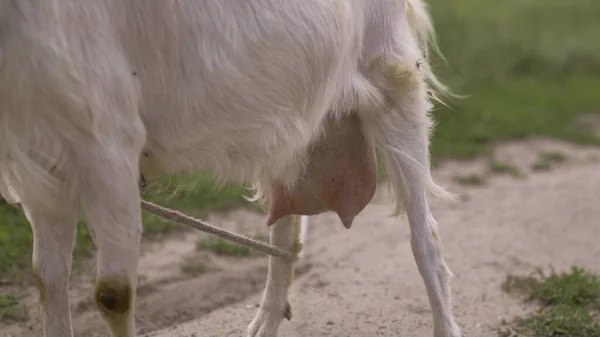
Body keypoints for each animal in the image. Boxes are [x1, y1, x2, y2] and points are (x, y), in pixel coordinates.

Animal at [0, 0, 460, 334]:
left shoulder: (108, 146)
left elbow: (113, 294)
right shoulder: (44, 166)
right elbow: (48, 281)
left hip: (394, 80)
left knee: (427, 238)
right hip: (294, 125)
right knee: (288, 233)